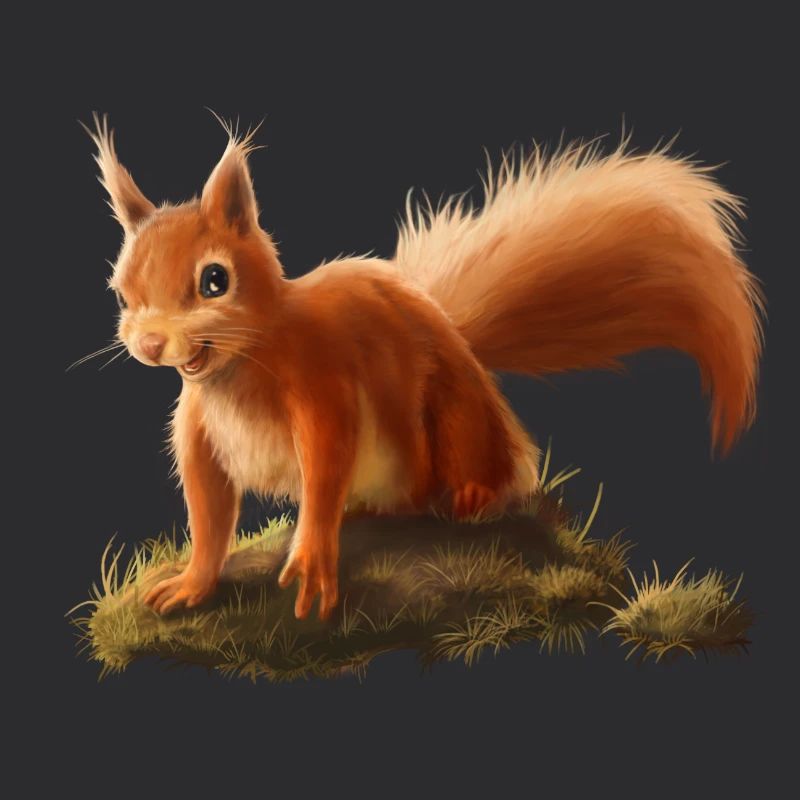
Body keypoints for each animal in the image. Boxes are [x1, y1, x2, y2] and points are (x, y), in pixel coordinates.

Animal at [81, 113, 765, 621]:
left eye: (214, 280)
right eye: (121, 291)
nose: (150, 344)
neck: (239, 367)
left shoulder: (323, 384)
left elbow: (325, 464)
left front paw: (312, 557)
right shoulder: (198, 432)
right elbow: (208, 510)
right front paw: (192, 583)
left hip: (456, 417)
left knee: (492, 466)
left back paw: (472, 494)